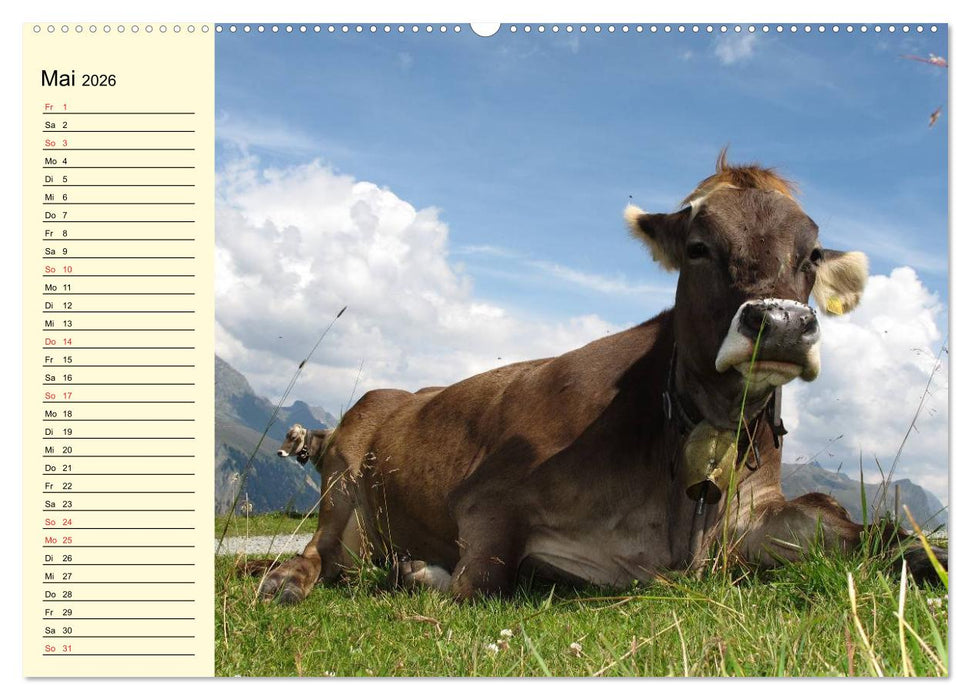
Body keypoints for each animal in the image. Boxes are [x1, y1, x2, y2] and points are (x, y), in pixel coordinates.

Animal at [259, 153, 945, 604]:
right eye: (698, 247)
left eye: (810, 254)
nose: (779, 324)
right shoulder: (486, 498)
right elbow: (482, 582)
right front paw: (429, 576)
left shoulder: (755, 515)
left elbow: (844, 525)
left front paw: (923, 554)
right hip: (344, 482)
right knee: (321, 551)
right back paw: (290, 580)